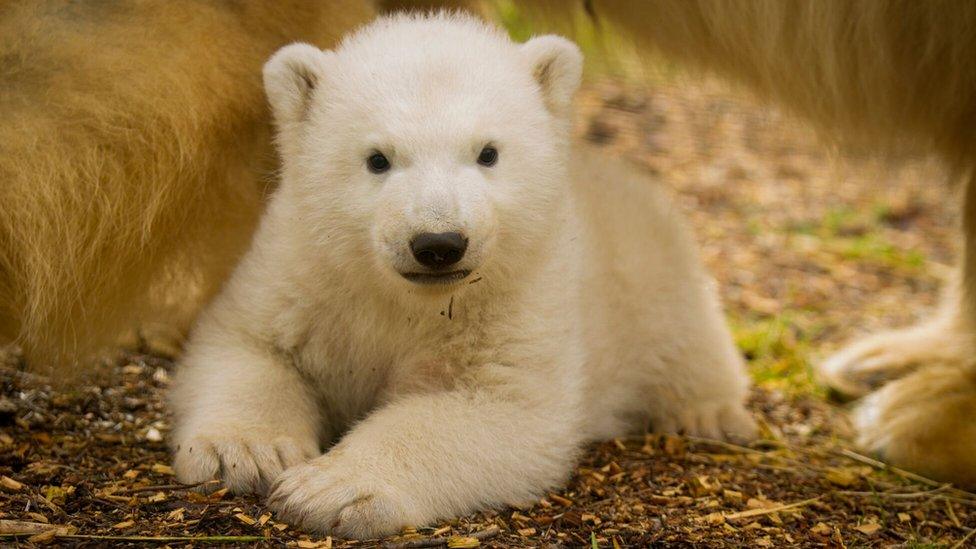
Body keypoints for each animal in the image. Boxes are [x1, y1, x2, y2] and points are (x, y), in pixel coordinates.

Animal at [170, 13, 756, 540]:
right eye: (377, 159)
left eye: (488, 153)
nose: (438, 244)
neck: (406, 298)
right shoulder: (303, 272)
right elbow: (249, 343)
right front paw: (245, 452)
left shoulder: (522, 299)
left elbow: (499, 409)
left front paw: (332, 490)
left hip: (652, 268)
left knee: (690, 341)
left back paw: (712, 414)